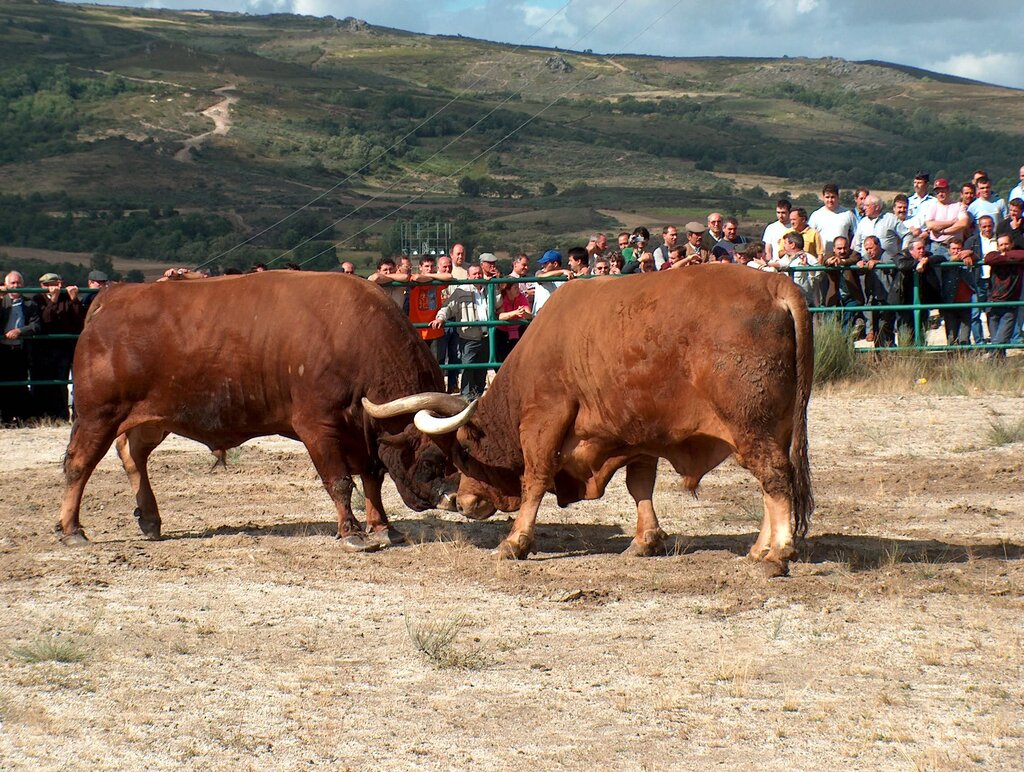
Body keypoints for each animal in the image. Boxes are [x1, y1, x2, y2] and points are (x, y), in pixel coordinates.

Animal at [59, 270, 464, 548]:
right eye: (433, 458)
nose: (456, 499)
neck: (356, 340)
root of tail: (111, 297)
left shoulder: (361, 435)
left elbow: (372, 480)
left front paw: (382, 528)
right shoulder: (318, 427)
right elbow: (340, 482)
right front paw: (351, 532)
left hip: (152, 418)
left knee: (133, 455)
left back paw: (149, 518)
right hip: (98, 415)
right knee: (79, 464)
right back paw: (71, 529)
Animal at [370, 264, 815, 573]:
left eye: (461, 454)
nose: (462, 502)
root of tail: (777, 285)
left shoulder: (545, 419)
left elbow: (535, 480)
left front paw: (515, 542)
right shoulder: (639, 435)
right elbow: (640, 486)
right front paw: (645, 540)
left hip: (751, 427)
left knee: (775, 478)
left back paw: (778, 553)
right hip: (773, 428)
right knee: (773, 482)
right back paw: (759, 547)